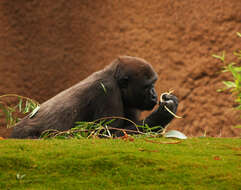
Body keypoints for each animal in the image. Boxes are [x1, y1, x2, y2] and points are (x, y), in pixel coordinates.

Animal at [10, 55, 178, 139]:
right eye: (147, 86)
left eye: (153, 84)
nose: (154, 95)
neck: (113, 76)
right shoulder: (107, 91)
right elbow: (106, 134)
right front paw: (164, 114)